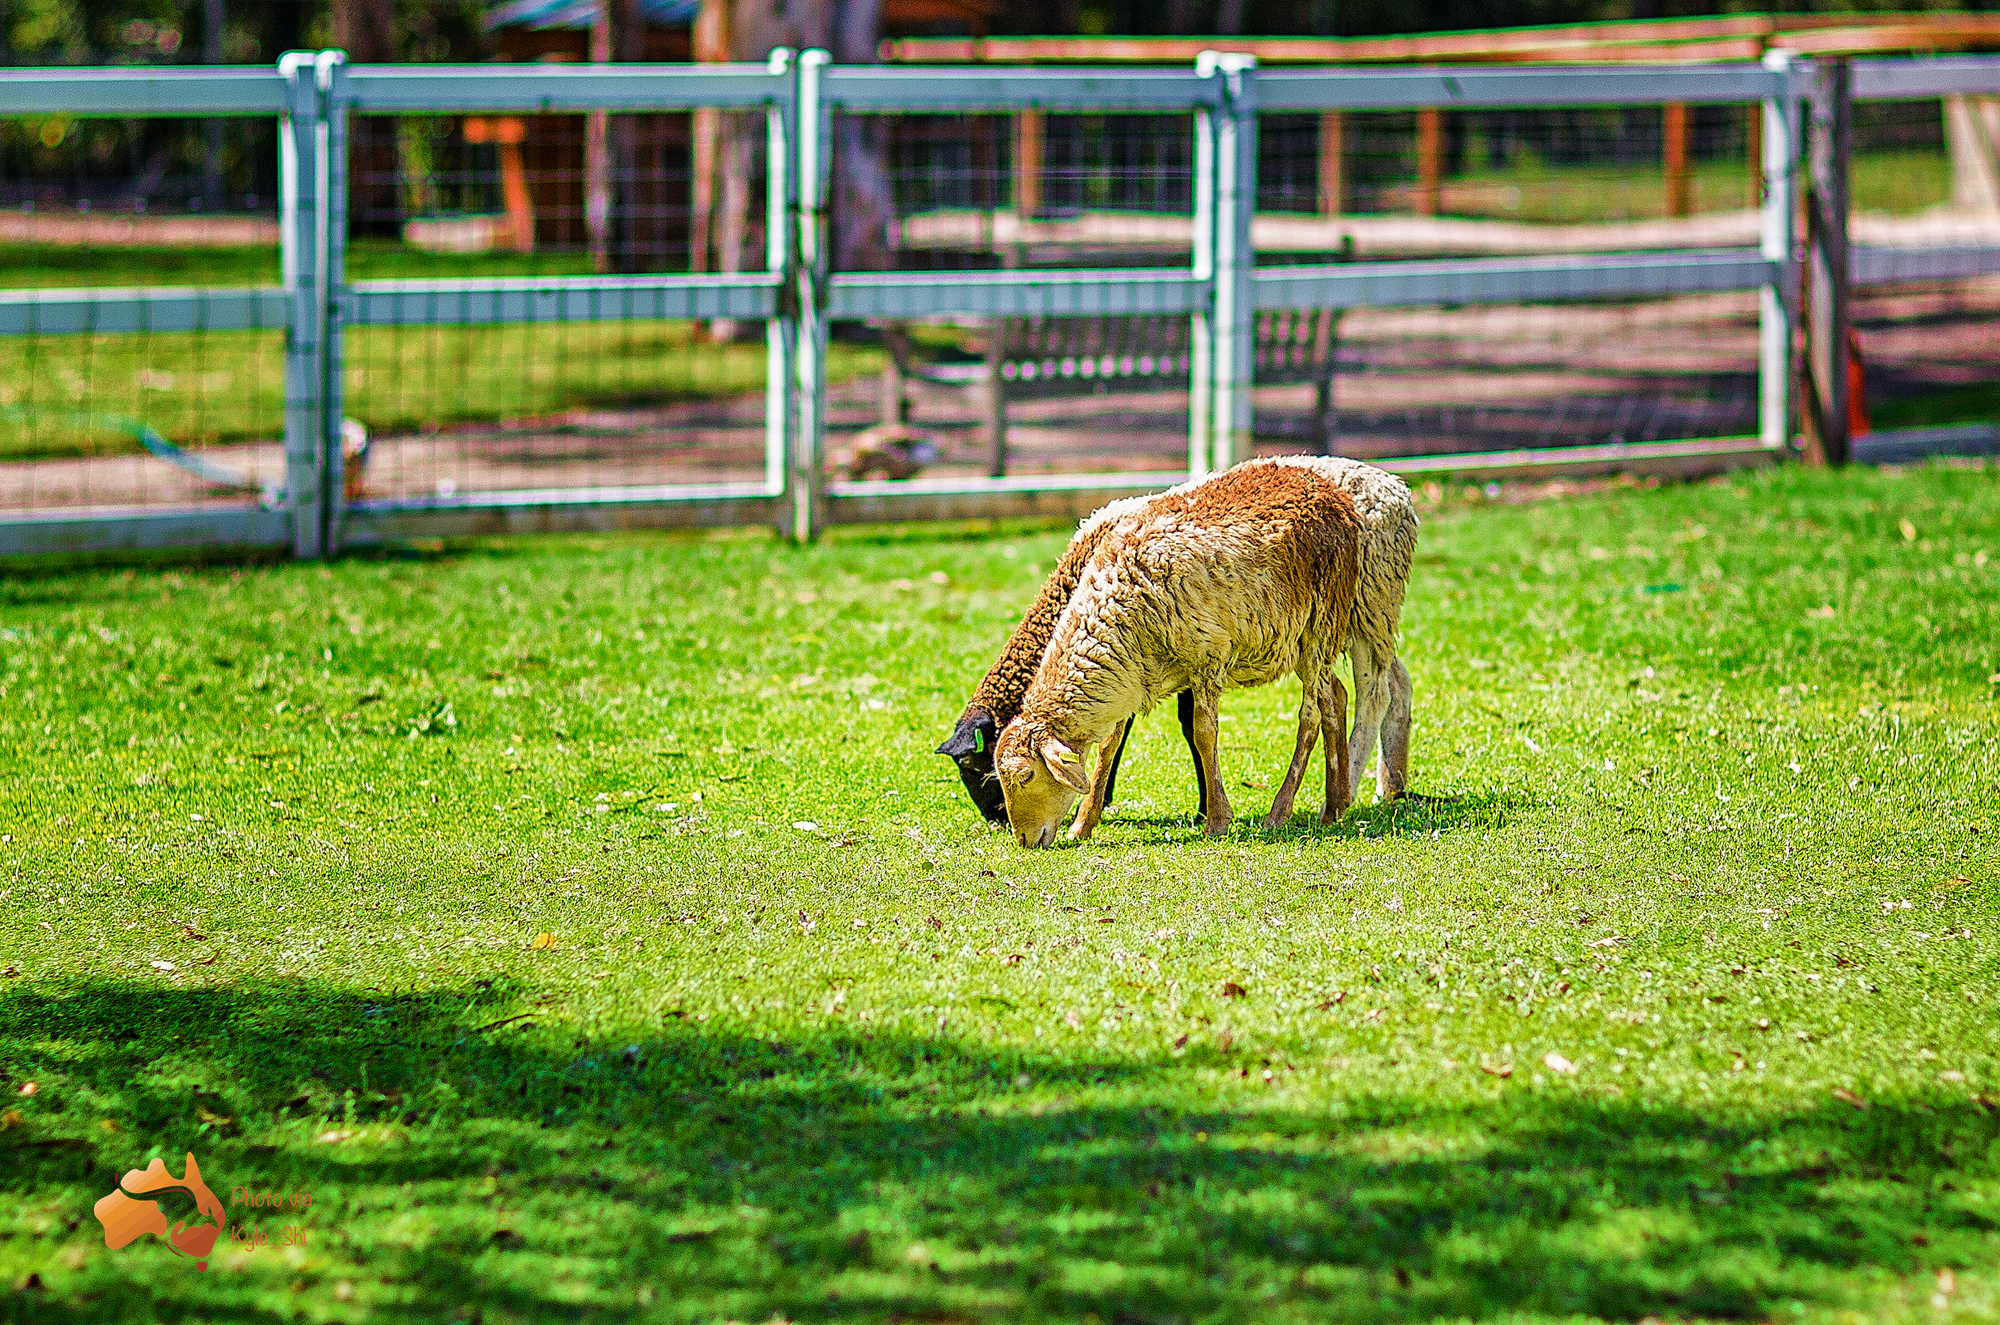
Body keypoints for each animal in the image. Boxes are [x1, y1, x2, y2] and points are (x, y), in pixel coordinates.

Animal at [1000, 460, 1376, 852]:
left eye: (1026, 775)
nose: (1023, 839)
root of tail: (1330, 491)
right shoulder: (1131, 674)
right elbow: (1108, 746)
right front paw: (1082, 825)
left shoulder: (1207, 658)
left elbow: (1204, 734)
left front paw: (1217, 820)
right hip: (1302, 642)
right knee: (1334, 697)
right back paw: (1335, 806)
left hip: (1321, 622)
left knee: (1311, 716)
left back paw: (1280, 811)